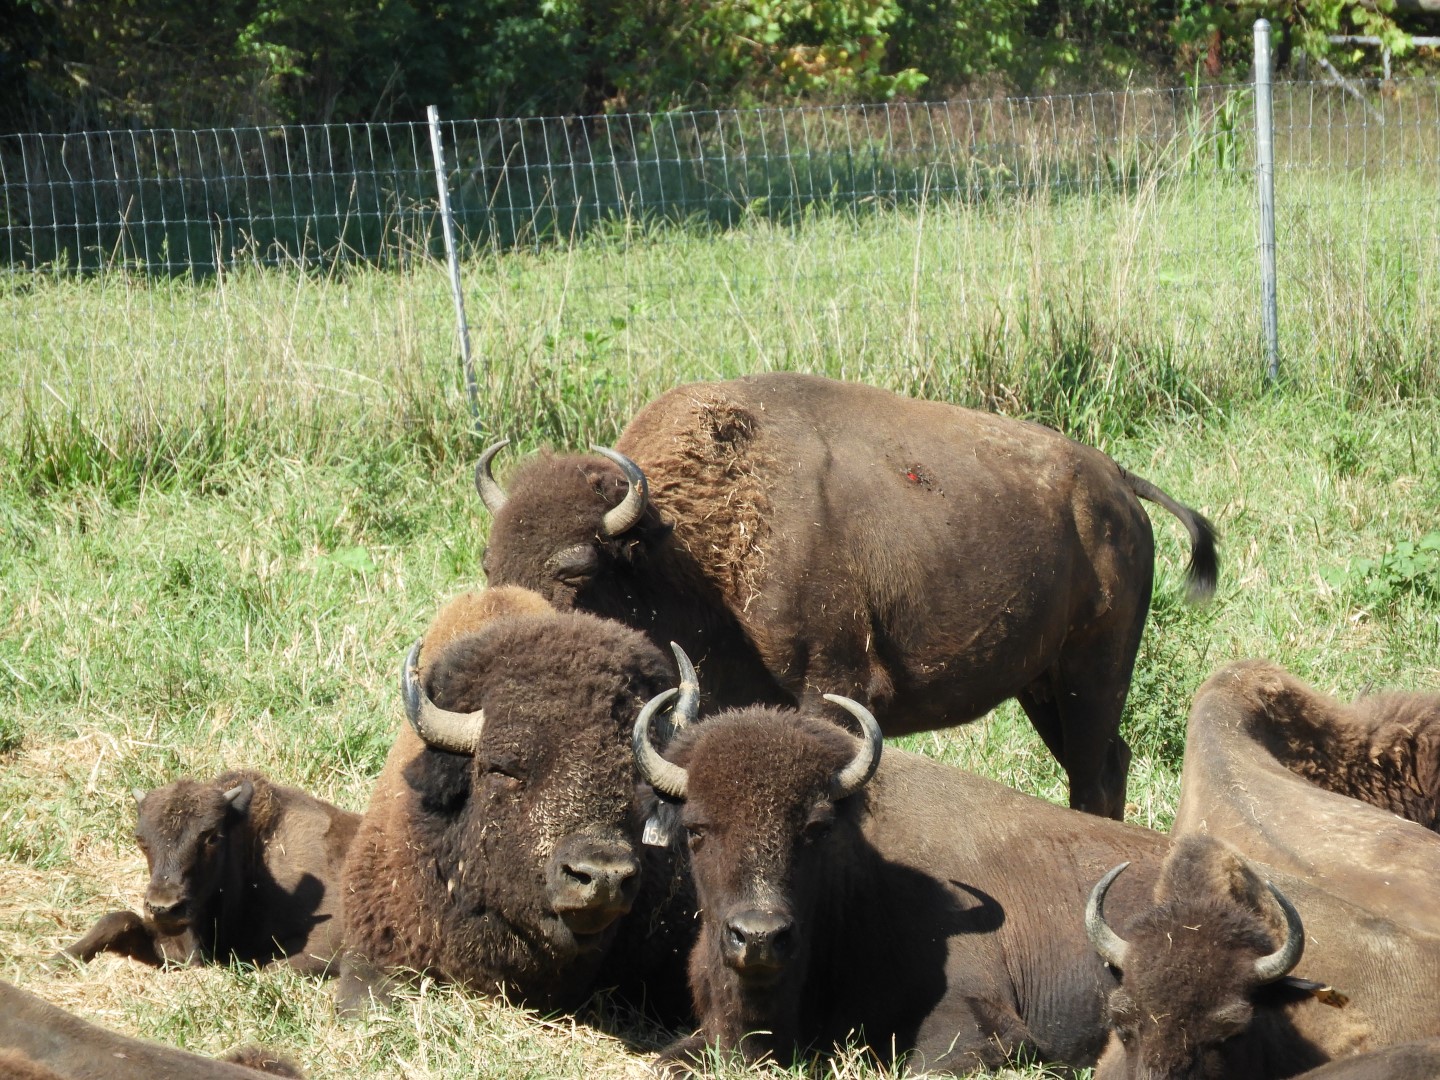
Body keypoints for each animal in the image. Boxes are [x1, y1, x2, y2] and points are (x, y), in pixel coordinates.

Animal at [479, 372, 1217, 817]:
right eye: (489, 563)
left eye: (575, 570)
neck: (684, 544)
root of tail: (1115, 480)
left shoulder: (835, 687)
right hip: (1041, 684)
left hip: (1092, 672)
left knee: (1095, 771)